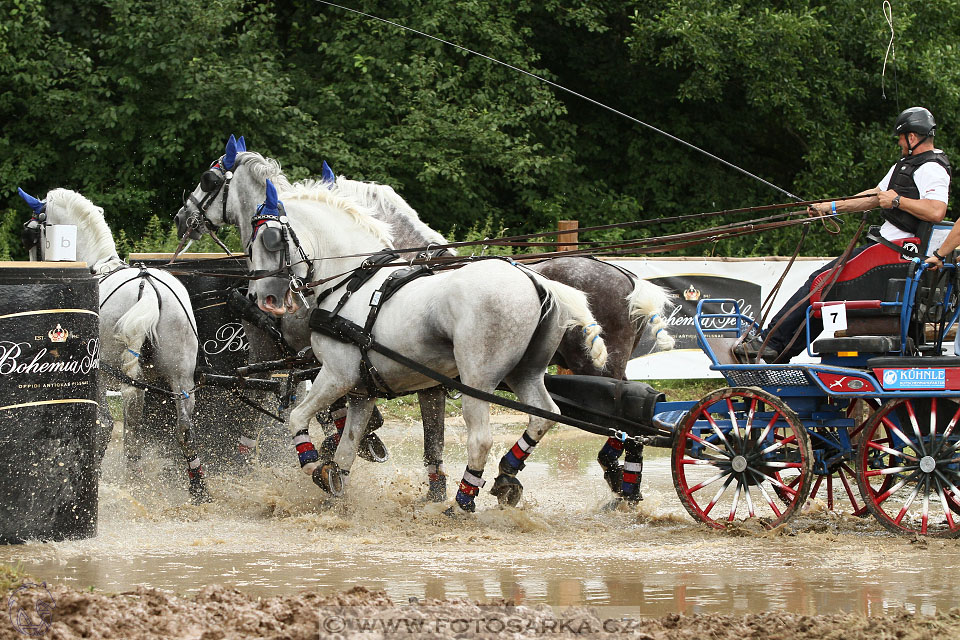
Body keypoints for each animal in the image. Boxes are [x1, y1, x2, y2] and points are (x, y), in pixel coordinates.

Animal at [16, 188, 209, 502]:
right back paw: (197, 488)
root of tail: (148, 287)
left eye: (30, 235)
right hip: (180, 377)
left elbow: (107, 424)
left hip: (114, 372)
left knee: (120, 425)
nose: (35, 266)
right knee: (184, 428)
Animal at [248, 178, 608, 512]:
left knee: (481, 439)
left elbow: (297, 417)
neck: (351, 284)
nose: (259, 298)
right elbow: (347, 448)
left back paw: (462, 503)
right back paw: (506, 475)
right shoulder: (361, 392)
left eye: (269, 240)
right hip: (525, 373)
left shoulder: (337, 375)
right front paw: (334, 489)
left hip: (477, 380)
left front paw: (314, 466)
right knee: (543, 416)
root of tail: (536, 280)